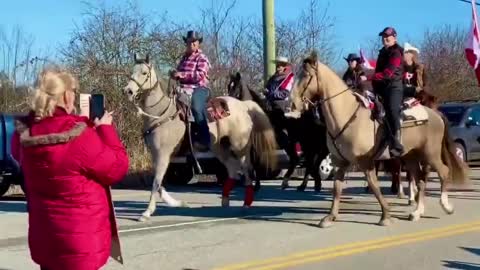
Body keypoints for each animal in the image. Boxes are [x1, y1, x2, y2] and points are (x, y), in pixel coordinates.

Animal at [124, 54, 278, 221]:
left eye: (144, 73)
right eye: (132, 70)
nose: (128, 91)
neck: (162, 113)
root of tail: (244, 106)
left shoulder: (163, 154)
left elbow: (156, 183)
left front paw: (147, 212)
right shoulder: (156, 155)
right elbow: (158, 183)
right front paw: (177, 203)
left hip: (240, 148)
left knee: (246, 171)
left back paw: (245, 205)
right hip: (220, 148)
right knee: (232, 168)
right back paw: (225, 200)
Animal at [288, 51, 468, 227]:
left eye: (306, 75)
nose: (292, 104)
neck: (347, 113)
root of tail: (435, 114)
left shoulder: (366, 162)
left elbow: (374, 186)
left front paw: (386, 216)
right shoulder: (341, 161)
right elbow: (337, 187)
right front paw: (330, 217)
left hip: (431, 153)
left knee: (443, 171)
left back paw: (446, 206)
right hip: (411, 156)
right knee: (420, 180)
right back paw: (417, 212)